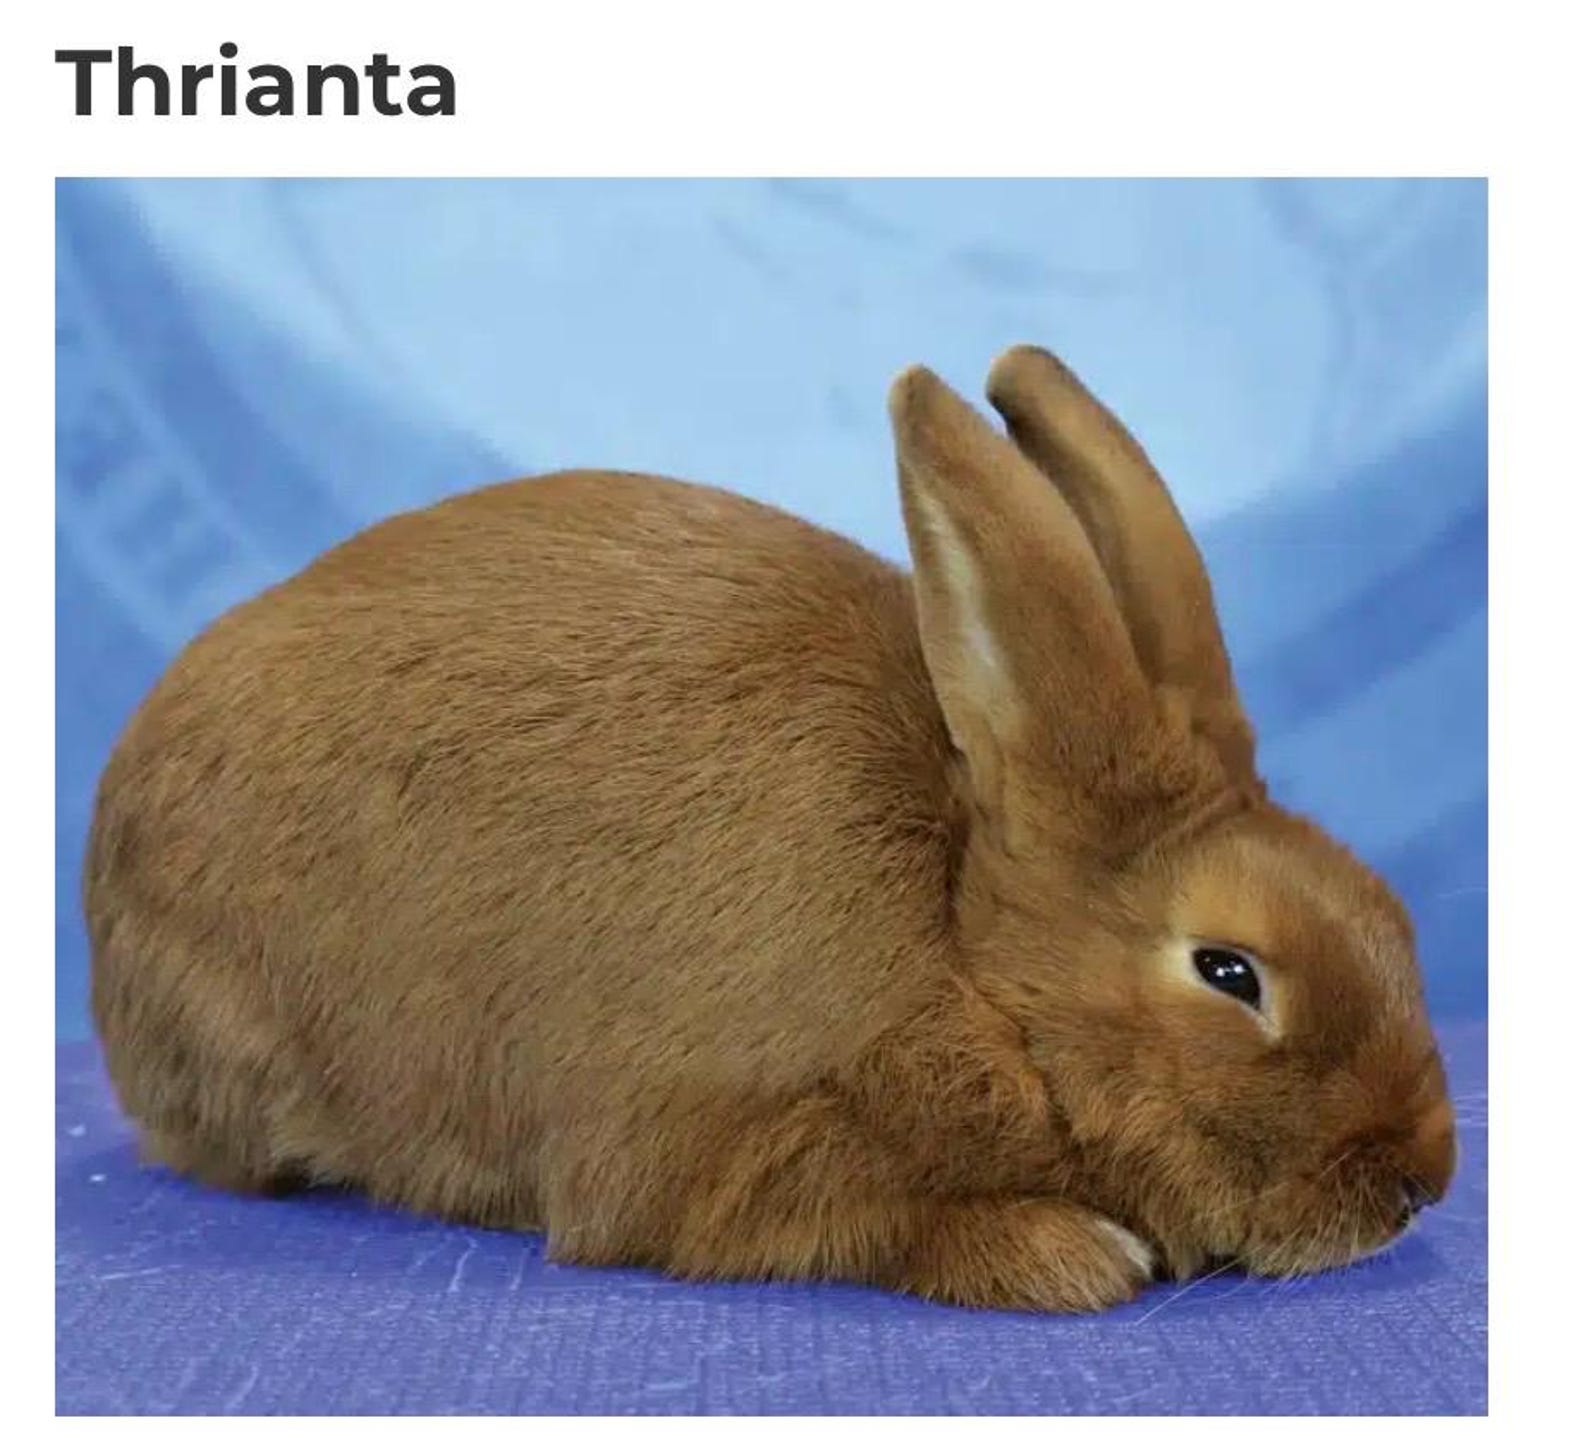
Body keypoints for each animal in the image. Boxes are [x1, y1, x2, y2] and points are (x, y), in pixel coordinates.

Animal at [83, 345, 1456, 1311]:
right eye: (1229, 972)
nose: (1419, 1182)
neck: (962, 945)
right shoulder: (711, 1150)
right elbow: (851, 1216)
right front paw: (1073, 1252)